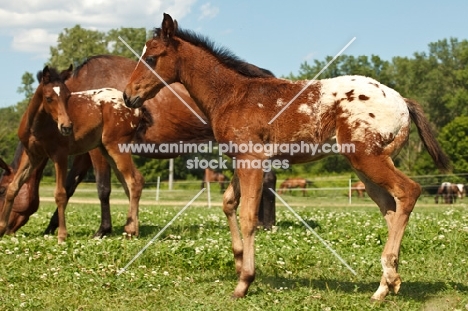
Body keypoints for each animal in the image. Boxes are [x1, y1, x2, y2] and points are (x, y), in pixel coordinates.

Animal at [0, 66, 144, 244]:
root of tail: (136, 109)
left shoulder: (59, 155)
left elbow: (60, 193)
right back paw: (132, 229)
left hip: (117, 147)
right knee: (127, 183)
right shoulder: (33, 156)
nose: (67, 127)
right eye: (48, 98)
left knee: (135, 181)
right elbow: (14, 186)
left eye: (68, 96)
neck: (37, 126)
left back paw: (130, 230)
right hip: (106, 150)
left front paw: (62, 236)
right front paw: (1, 228)